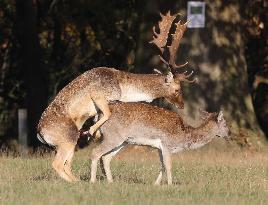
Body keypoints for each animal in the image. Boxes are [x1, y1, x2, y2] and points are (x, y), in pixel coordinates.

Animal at [36, 11, 195, 182]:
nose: (182, 105)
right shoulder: (99, 93)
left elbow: (102, 115)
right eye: (177, 89)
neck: (122, 87)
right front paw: (92, 131)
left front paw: (94, 131)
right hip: (68, 136)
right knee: (58, 163)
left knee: (67, 163)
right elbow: (107, 112)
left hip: (68, 141)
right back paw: (77, 181)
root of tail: (40, 133)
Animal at [90, 103, 230, 185]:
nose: (229, 133)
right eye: (225, 124)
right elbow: (168, 165)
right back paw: (92, 181)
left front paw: (156, 184)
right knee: (95, 152)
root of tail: (99, 115)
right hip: (113, 136)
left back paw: (111, 182)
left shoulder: (159, 148)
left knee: (106, 157)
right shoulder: (167, 144)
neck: (184, 136)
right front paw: (170, 185)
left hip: (123, 141)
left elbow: (162, 165)